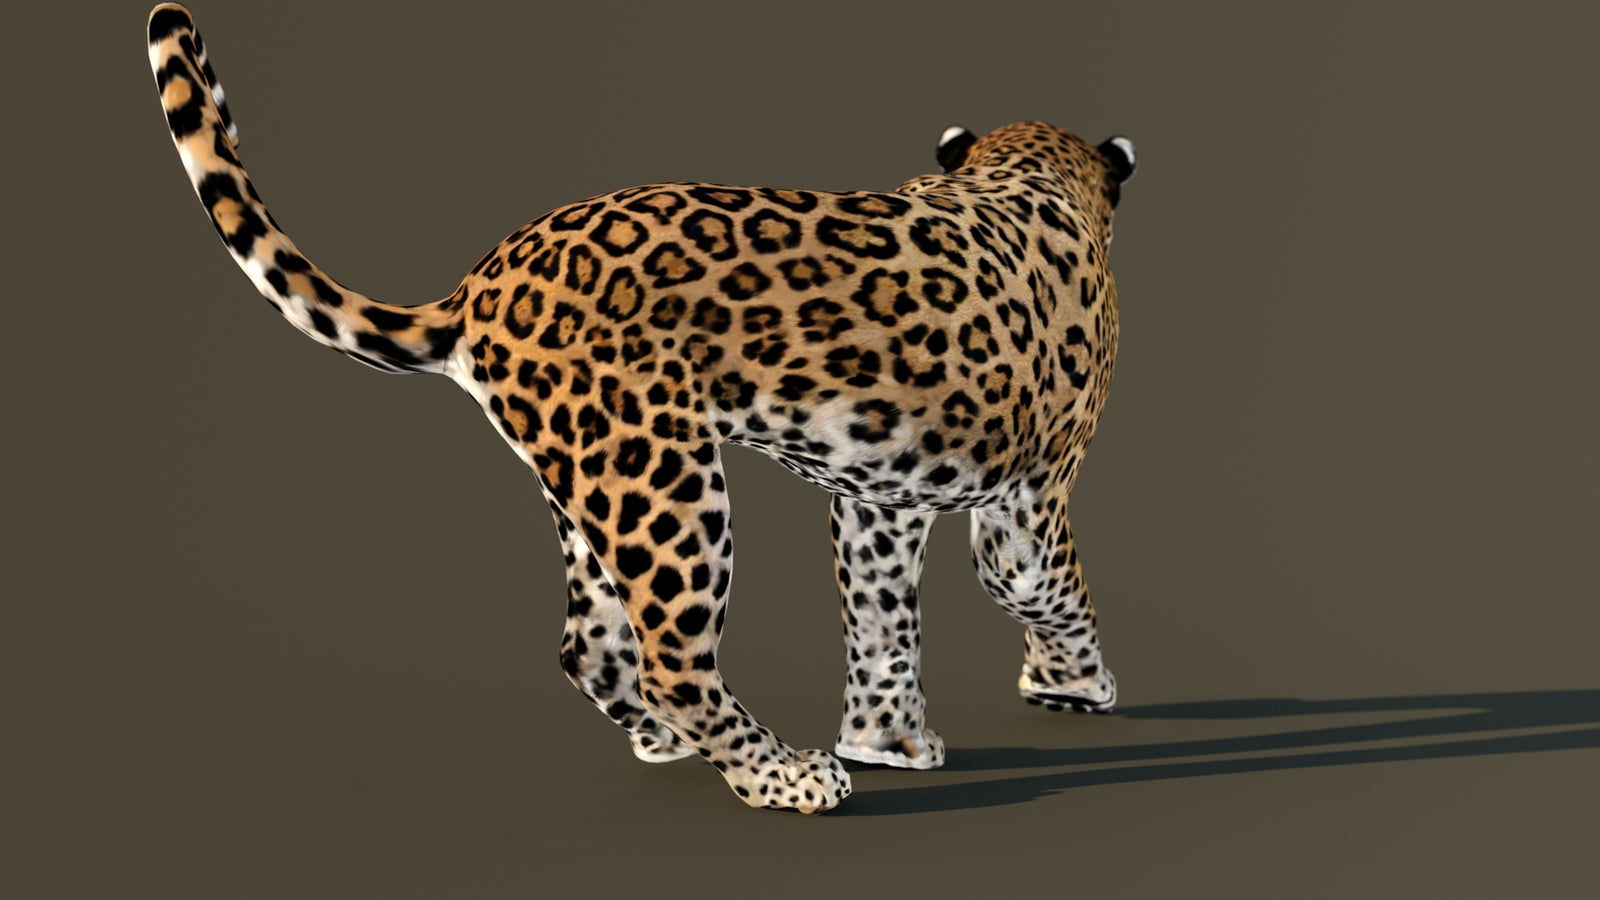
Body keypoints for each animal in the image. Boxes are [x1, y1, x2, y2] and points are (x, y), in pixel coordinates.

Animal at [148, 3, 1138, 814]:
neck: (1026, 169)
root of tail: (478, 286)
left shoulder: (879, 501)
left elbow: (882, 615)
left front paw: (887, 738)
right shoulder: (1028, 497)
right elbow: (1045, 587)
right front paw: (1077, 685)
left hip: (587, 483)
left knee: (587, 646)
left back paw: (673, 745)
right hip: (665, 481)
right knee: (673, 660)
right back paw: (787, 777)